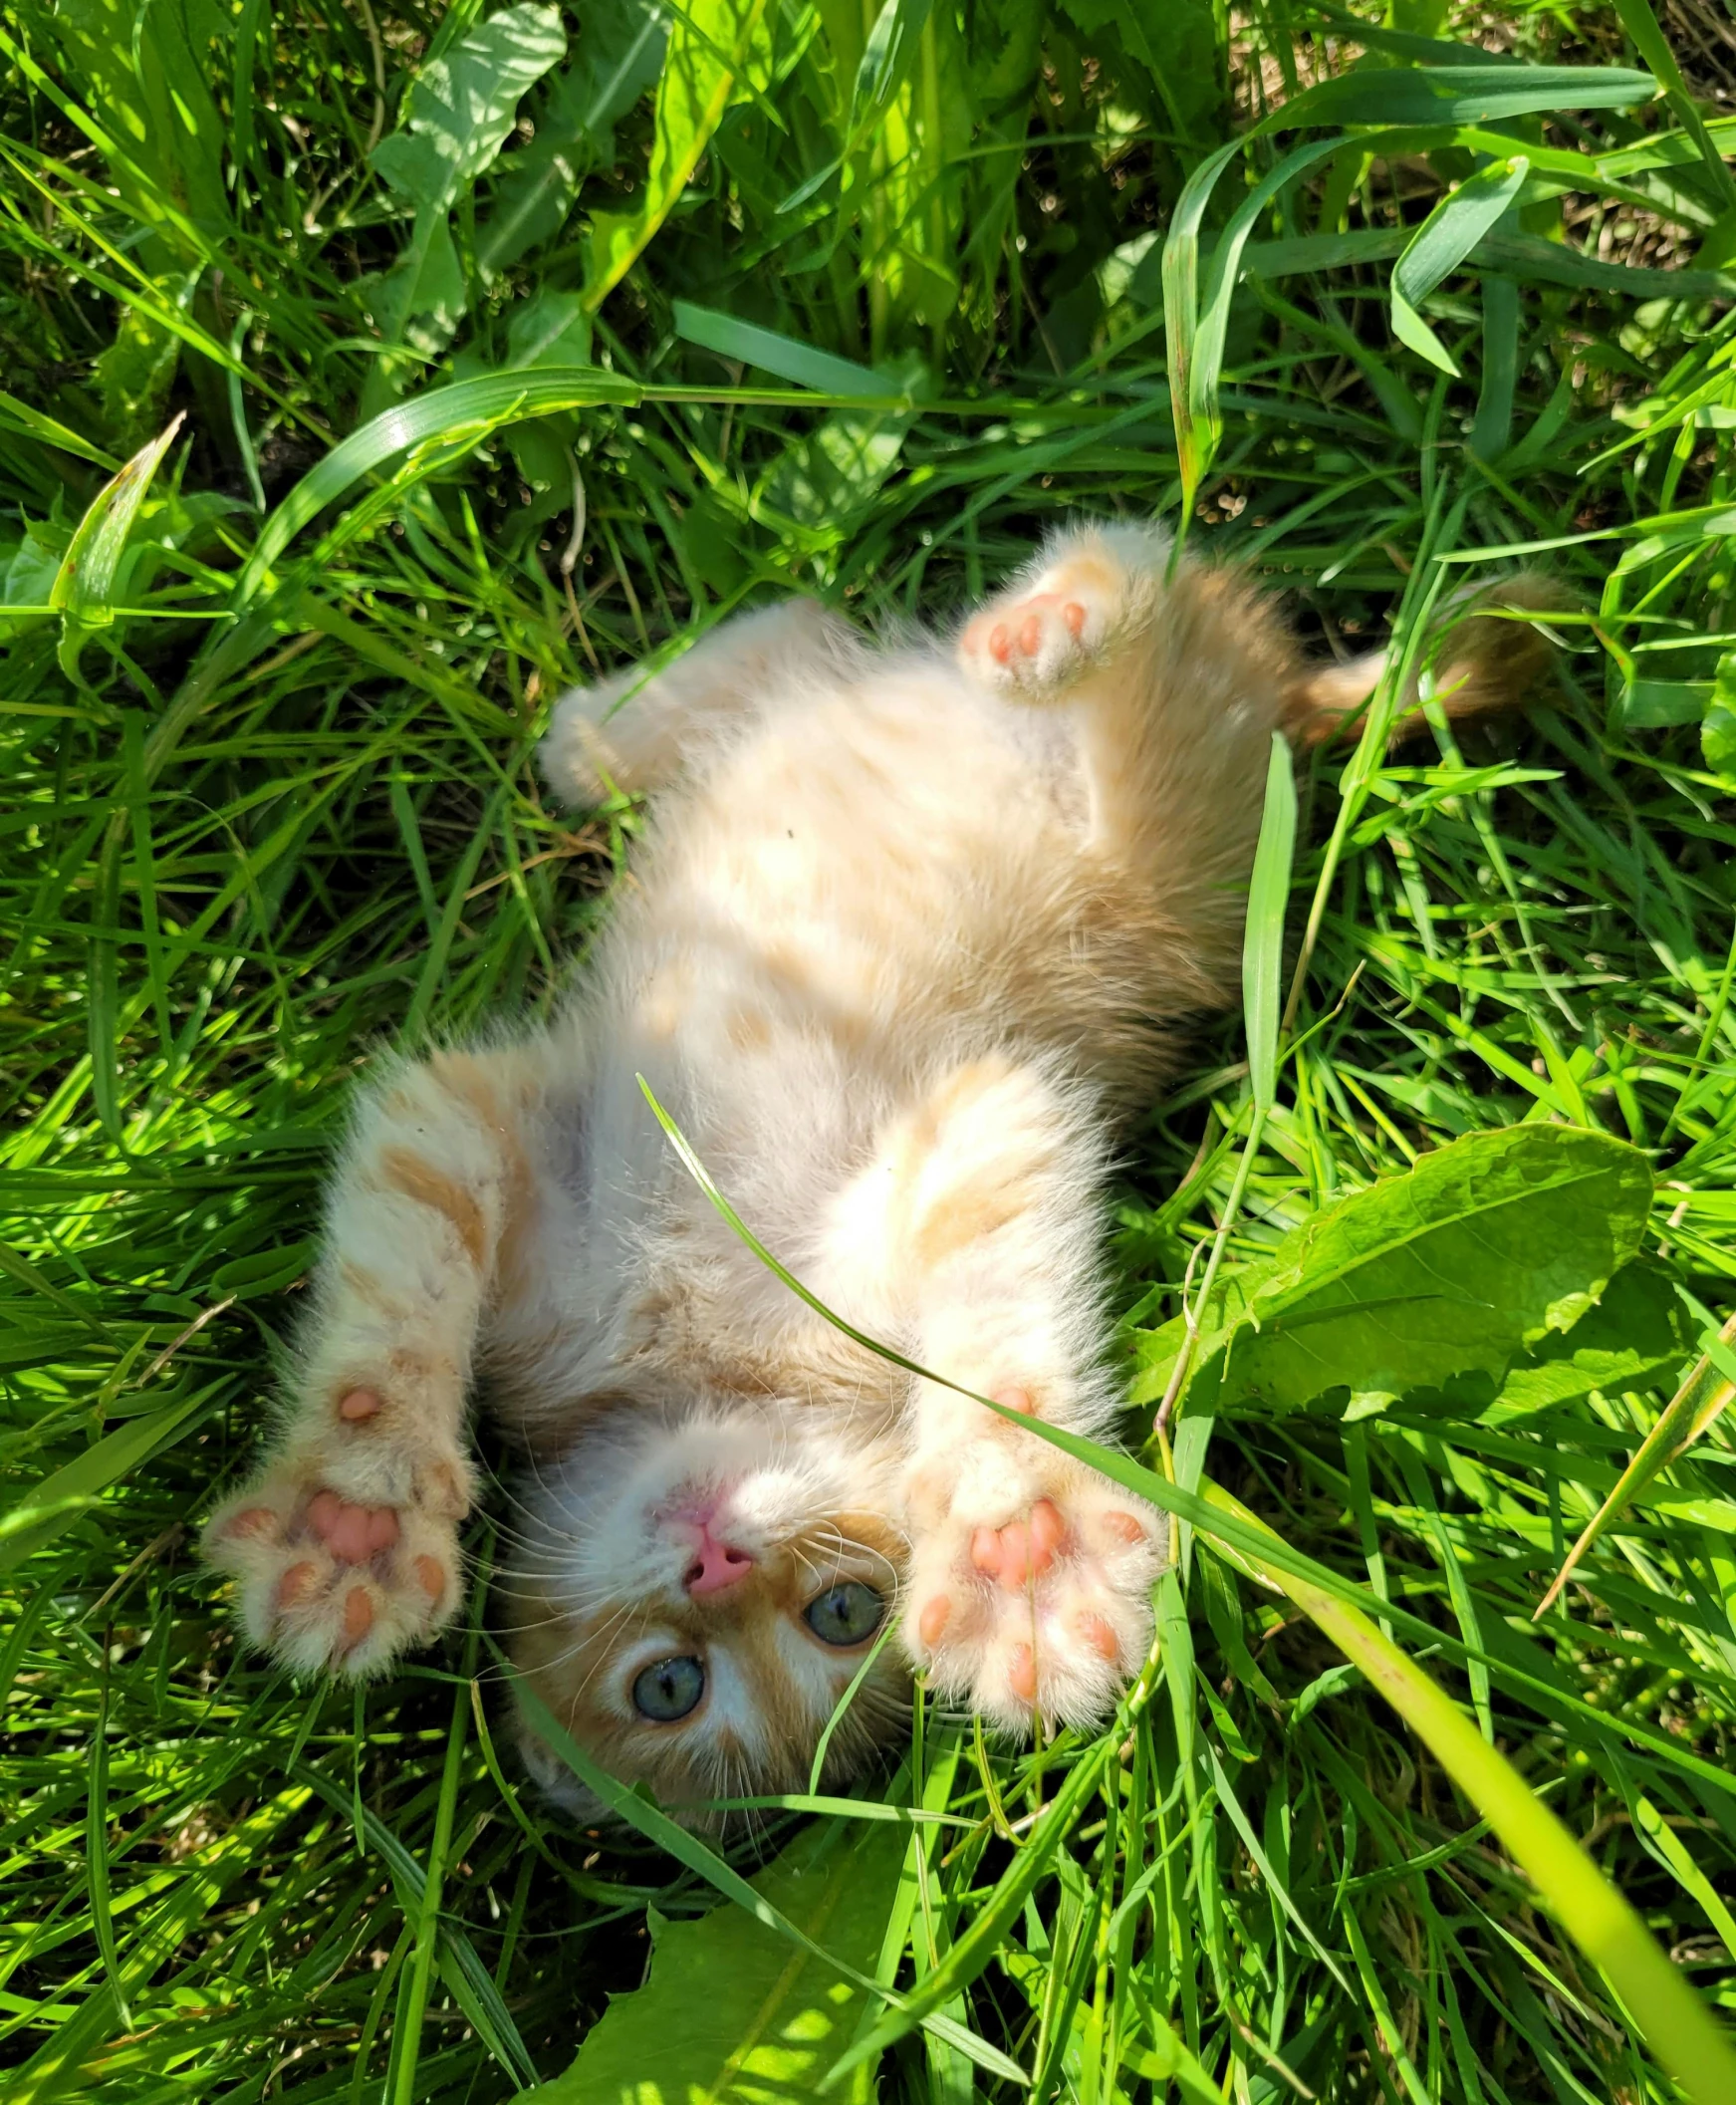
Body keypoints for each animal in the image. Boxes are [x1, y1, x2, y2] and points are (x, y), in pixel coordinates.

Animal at [202, 517, 1540, 1818]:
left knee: (1143, 570)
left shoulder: (983, 1117)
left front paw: (1023, 1550)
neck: (694, 1359)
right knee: (809, 618)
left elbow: (997, 1335)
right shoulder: (479, 1126)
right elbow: (391, 1305)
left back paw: (1057, 620)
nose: (717, 1560)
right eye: (670, 1684)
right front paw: (355, 1517)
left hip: (1180, 820)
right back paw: (604, 734)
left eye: (839, 1612)